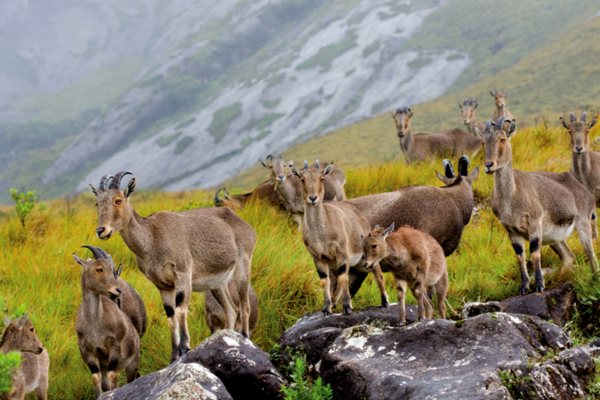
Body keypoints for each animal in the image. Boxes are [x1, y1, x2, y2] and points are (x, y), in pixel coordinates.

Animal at [73, 245, 142, 398]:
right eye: (99, 269)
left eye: (111, 270)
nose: (118, 290)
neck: (95, 326)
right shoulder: (87, 350)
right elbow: (95, 377)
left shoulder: (115, 345)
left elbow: (113, 374)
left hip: (133, 361)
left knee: (130, 379)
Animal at [89, 172, 255, 362]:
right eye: (97, 202)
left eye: (118, 200)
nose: (101, 230)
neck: (151, 239)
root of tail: (246, 226)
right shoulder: (162, 285)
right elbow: (170, 316)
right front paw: (174, 354)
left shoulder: (182, 272)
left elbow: (181, 309)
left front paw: (185, 346)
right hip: (217, 283)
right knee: (231, 309)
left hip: (243, 265)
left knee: (244, 306)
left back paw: (244, 338)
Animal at [290, 161, 390, 314]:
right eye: (302, 179)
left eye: (322, 178)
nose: (313, 198)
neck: (321, 235)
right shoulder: (317, 257)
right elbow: (325, 280)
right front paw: (326, 308)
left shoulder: (341, 251)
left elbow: (343, 277)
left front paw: (347, 307)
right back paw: (334, 303)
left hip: (369, 259)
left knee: (378, 276)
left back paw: (385, 301)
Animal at [476, 117, 596, 296]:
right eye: (483, 142)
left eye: (502, 139)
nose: (489, 165)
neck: (512, 198)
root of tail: (586, 192)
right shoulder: (511, 229)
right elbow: (520, 256)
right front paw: (524, 286)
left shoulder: (534, 221)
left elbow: (534, 253)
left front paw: (539, 285)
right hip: (553, 236)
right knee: (568, 256)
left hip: (583, 222)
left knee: (591, 256)